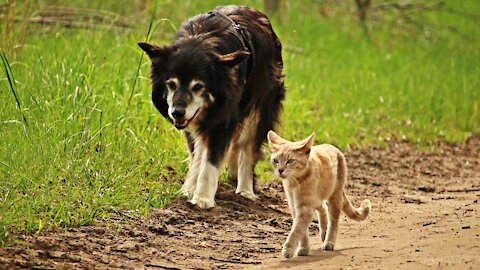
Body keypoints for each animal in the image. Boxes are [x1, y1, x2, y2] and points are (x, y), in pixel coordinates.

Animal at [137, 5, 284, 209]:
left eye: (198, 86)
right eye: (171, 84)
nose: (176, 113)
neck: (200, 39)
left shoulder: (222, 120)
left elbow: (210, 161)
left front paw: (203, 198)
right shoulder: (192, 123)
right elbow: (197, 156)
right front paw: (190, 189)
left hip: (260, 110)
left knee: (248, 149)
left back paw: (245, 190)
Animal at [266, 130, 372, 258]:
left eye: (290, 161)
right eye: (275, 161)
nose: (280, 170)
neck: (294, 183)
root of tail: (333, 147)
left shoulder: (304, 209)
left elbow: (296, 230)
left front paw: (288, 248)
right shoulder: (295, 207)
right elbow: (302, 231)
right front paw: (303, 248)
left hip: (335, 196)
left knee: (333, 221)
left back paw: (329, 241)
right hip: (317, 199)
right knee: (322, 207)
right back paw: (324, 231)